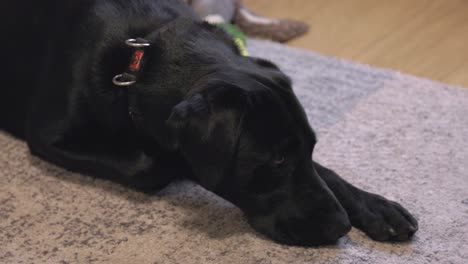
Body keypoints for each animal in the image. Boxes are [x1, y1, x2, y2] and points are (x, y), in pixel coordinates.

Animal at [0, 0, 416, 245]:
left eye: (310, 147)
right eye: (277, 161)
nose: (341, 225)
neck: (143, 56)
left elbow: (324, 172)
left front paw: (376, 208)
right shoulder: (50, 136)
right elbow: (153, 164)